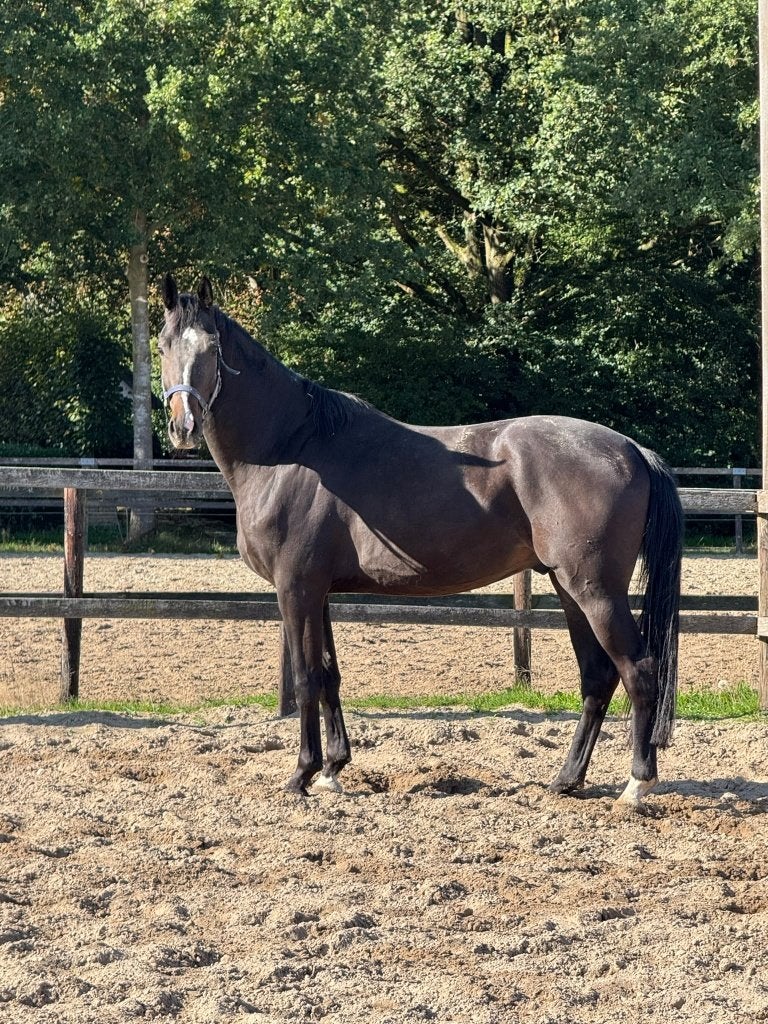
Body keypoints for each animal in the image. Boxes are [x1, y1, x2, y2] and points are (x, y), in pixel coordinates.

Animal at [158, 274, 683, 806]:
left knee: (639, 671)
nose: (184, 426)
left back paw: (636, 784)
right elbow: (329, 674)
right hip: (568, 588)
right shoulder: (318, 592)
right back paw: (566, 779)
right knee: (597, 677)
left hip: (596, 591)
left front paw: (301, 775)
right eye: (163, 345)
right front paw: (332, 769)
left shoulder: (296, 589)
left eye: (212, 347)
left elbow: (306, 678)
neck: (293, 450)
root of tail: (630, 449)